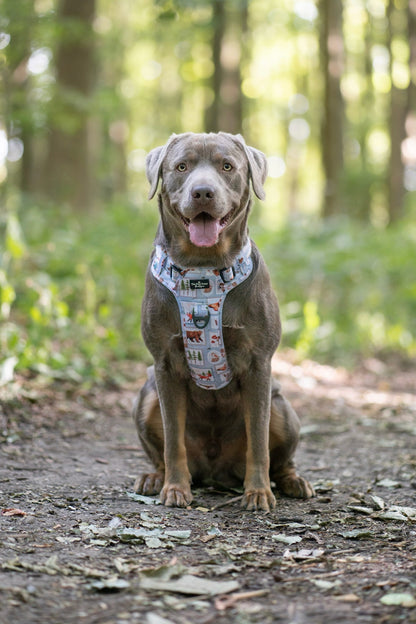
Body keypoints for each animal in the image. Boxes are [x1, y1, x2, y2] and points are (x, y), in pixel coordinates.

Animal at [132, 132, 314, 512]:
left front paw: (258, 493)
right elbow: (172, 439)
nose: (203, 192)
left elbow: (258, 439)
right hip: (145, 396)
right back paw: (154, 478)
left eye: (227, 166)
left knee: (281, 458)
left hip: (282, 406)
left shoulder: (259, 365)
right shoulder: (165, 364)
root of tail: (215, 470)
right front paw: (175, 488)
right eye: (181, 166)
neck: (203, 271)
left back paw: (293, 481)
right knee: (161, 449)